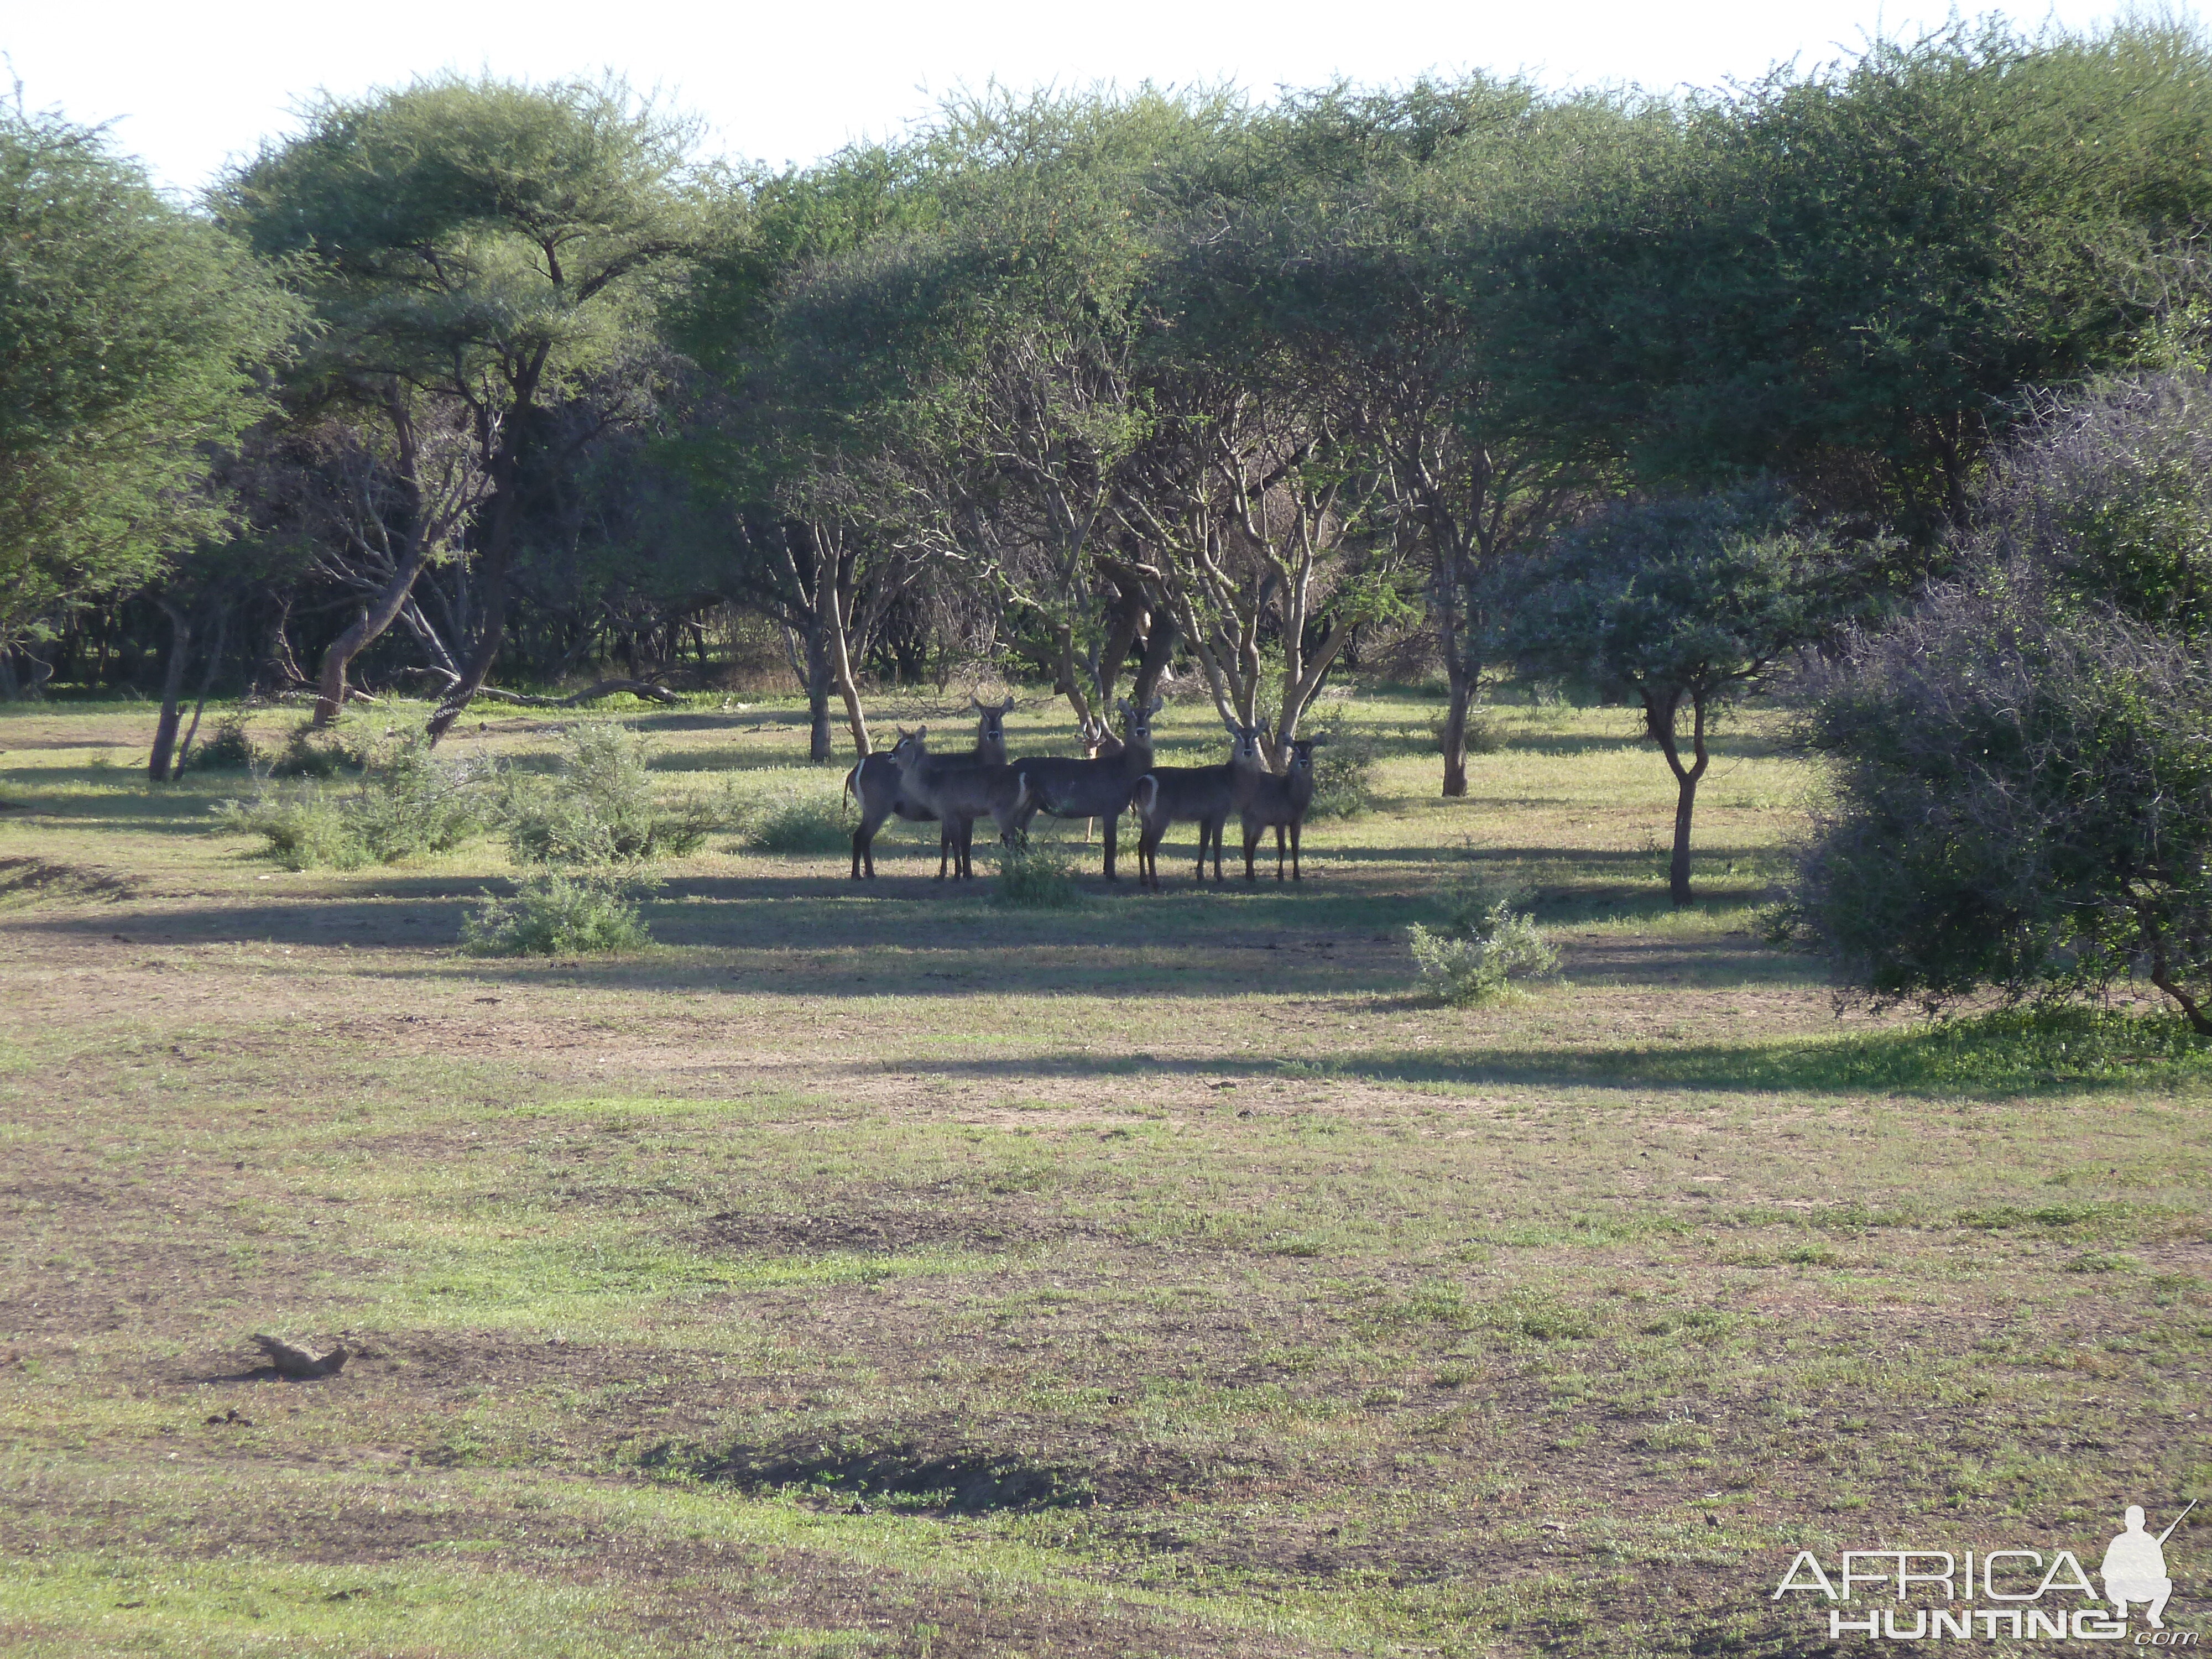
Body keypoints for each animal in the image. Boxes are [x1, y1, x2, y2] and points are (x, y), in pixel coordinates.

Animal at [880, 726, 1026, 885]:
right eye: (898, 740)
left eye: (907, 743)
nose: (890, 755)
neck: (931, 782)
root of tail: (1020, 776)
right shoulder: (948, 815)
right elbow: (950, 841)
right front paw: (951, 874)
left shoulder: (950, 812)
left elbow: (956, 842)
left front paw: (957, 875)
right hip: (1017, 811)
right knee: (1019, 837)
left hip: (1002, 811)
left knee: (1012, 838)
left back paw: (1012, 871)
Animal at [1013, 695, 1168, 885]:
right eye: (1131, 715)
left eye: (1148, 714)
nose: (1140, 731)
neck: (1125, 768)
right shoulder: (1110, 809)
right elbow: (1112, 842)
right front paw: (1112, 875)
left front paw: (1106, 871)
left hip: (1032, 806)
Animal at [1141, 721, 1265, 889]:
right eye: (1238, 736)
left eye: (1254, 736)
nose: (1248, 752)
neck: (1231, 780)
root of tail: (1144, 779)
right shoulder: (1219, 813)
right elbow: (1217, 844)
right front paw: (1219, 876)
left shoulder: (1205, 818)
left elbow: (1203, 844)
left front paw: (1200, 875)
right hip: (1160, 817)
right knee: (1150, 846)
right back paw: (1155, 882)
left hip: (1145, 818)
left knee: (1141, 844)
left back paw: (1143, 879)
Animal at [1248, 734, 1310, 876]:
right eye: (1296, 749)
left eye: (1310, 749)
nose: (1304, 762)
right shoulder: (1280, 821)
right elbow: (1282, 847)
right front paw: (1280, 875)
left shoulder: (1297, 821)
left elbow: (1295, 846)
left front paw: (1297, 875)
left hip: (1259, 822)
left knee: (1251, 844)